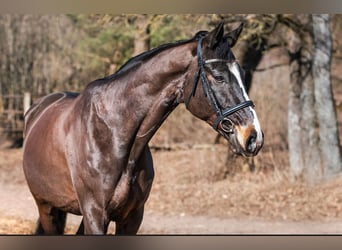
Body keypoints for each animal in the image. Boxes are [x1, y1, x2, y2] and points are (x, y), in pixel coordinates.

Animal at [22, 21, 264, 234]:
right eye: (219, 77)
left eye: (243, 74)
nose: (254, 137)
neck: (113, 134)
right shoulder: (95, 214)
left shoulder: (132, 217)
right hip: (47, 208)